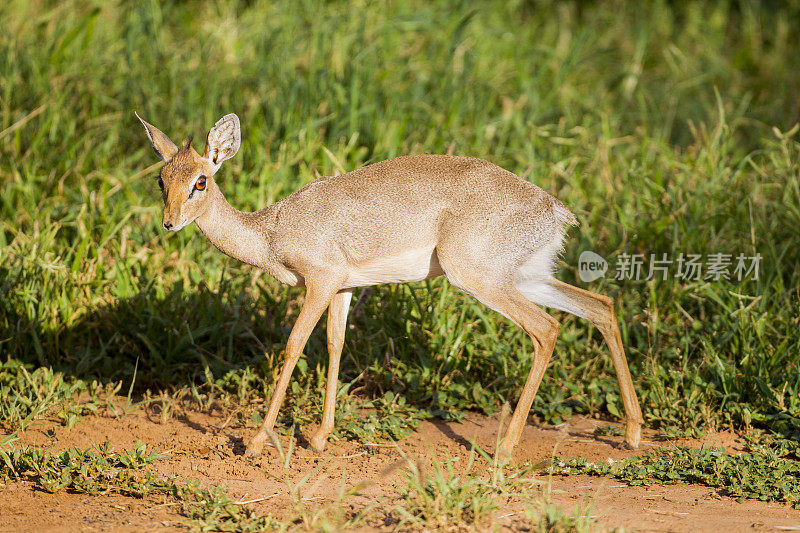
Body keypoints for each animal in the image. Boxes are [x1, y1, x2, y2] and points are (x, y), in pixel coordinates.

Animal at [134, 112, 640, 458]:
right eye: (162, 179)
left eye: (201, 180)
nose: (170, 223)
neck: (271, 230)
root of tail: (554, 209)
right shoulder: (342, 288)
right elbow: (335, 343)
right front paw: (320, 436)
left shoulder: (319, 281)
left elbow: (294, 345)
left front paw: (257, 442)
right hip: (527, 276)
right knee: (600, 305)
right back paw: (633, 433)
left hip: (479, 278)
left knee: (547, 330)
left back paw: (505, 447)